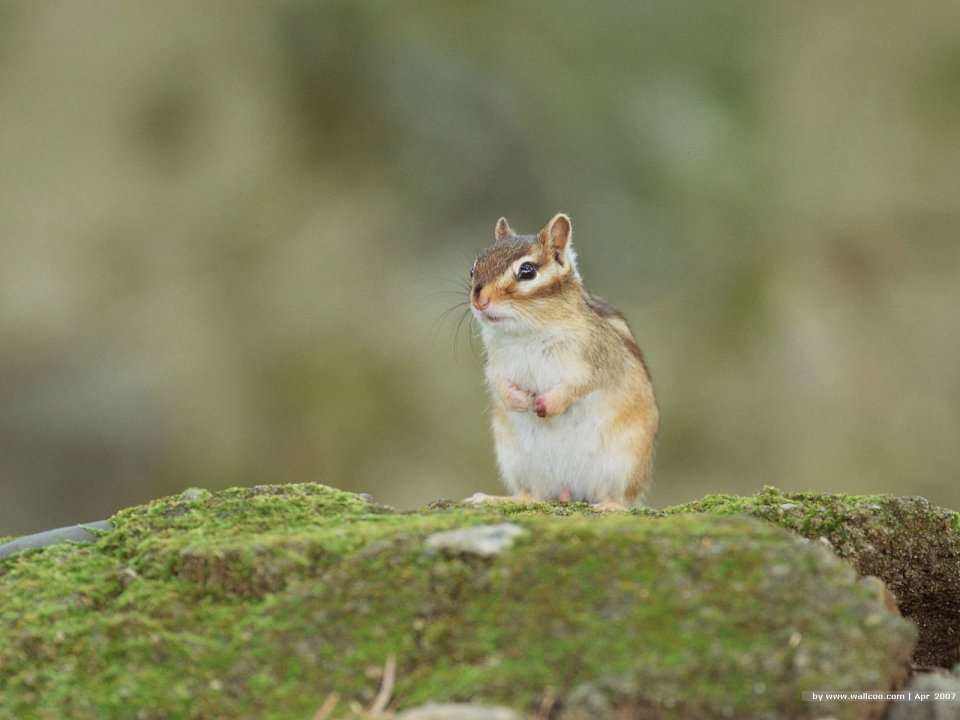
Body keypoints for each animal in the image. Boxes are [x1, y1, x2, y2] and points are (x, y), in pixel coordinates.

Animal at [464, 213, 659, 511]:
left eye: (527, 271)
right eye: (474, 269)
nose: (479, 300)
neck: (527, 331)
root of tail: (569, 490)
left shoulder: (598, 358)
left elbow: (583, 384)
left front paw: (550, 402)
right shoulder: (495, 363)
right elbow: (497, 382)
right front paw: (516, 399)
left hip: (624, 463)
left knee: (622, 498)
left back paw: (610, 506)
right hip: (518, 462)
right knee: (531, 496)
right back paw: (494, 499)